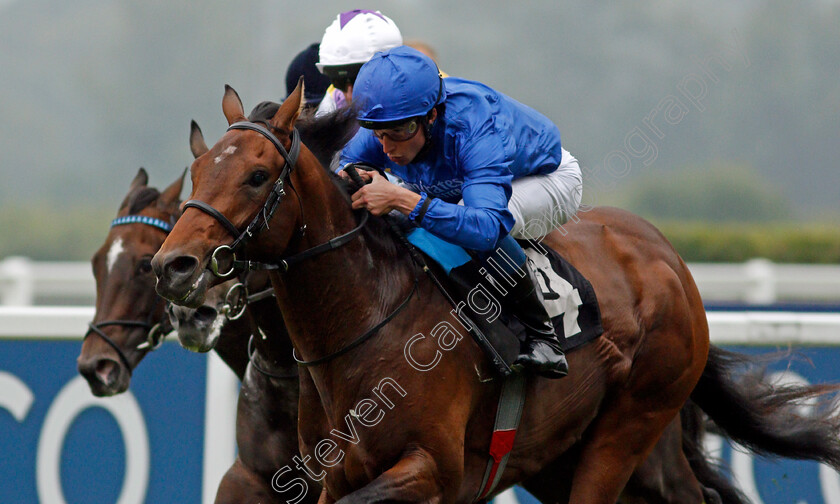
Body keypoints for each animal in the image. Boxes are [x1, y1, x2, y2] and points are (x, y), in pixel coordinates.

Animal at [153, 83, 716, 504]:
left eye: (257, 175)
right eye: (197, 173)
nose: (171, 266)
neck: (368, 319)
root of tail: (667, 257)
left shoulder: (434, 471)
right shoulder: (330, 471)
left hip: (629, 427)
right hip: (568, 455)